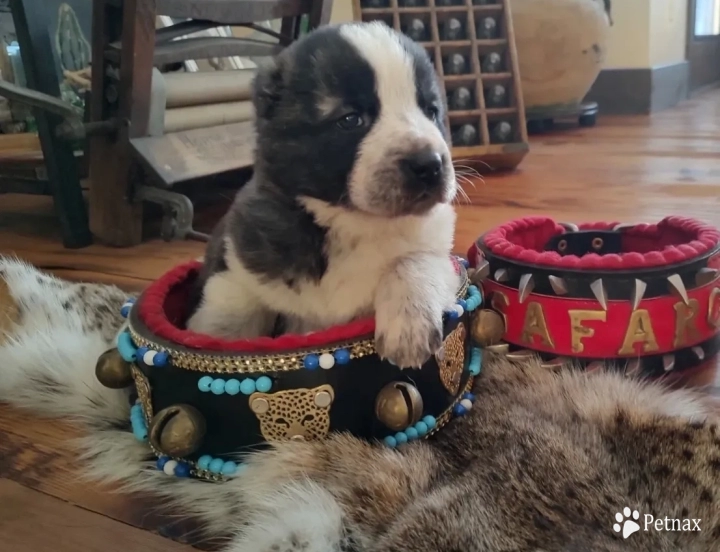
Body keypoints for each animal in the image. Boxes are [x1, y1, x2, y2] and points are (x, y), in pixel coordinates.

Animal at [188, 21, 458, 368]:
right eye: (351, 119)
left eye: (432, 111)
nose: (430, 165)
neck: (352, 222)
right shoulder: (237, 272)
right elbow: (227, 319)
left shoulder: (439, 250)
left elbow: (414, 260)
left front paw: (408, 328)